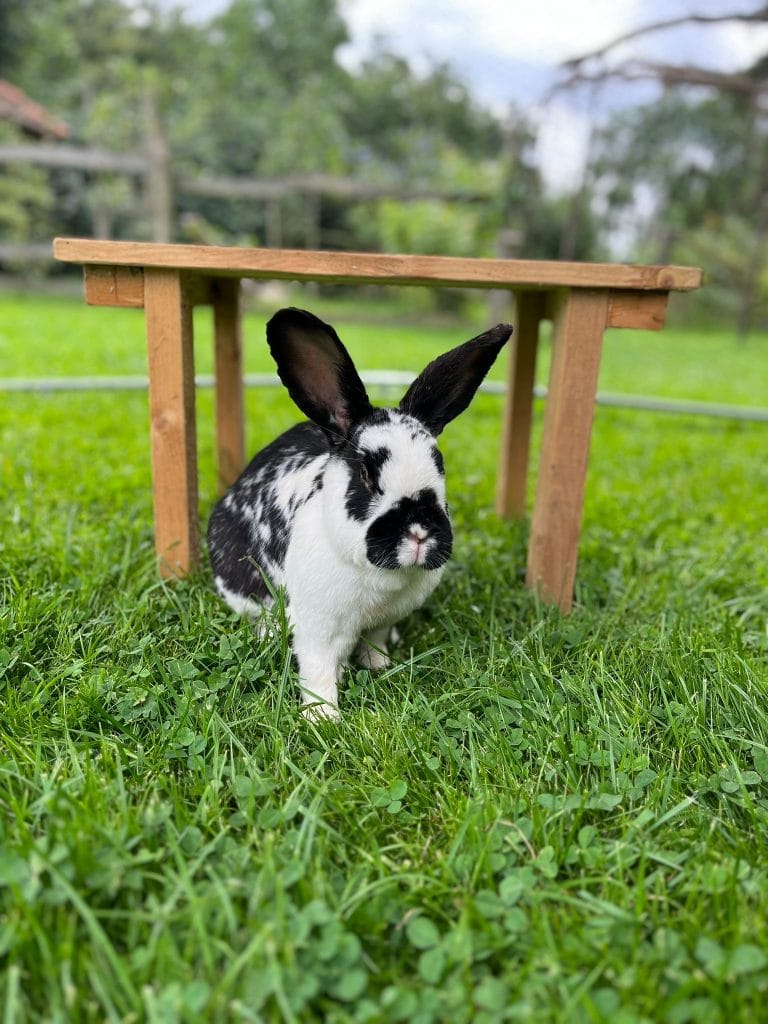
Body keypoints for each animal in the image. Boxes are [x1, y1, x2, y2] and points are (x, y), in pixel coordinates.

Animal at [208, 308, 512, 719]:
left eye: (440, 466)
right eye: (367, 474)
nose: (419, 532)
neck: (378, 575)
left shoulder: (381, 621)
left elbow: (375, 641)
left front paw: (380, 665)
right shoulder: (317, 628)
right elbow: (317, 668)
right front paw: (322, 717)